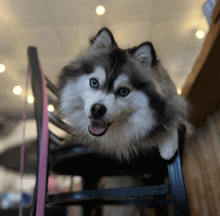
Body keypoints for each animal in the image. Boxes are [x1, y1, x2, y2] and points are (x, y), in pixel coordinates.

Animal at [58, 27, 189, 161]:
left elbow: (175, 118)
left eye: (123, 91)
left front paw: (168, 146)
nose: (97, 109)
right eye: (94, 82)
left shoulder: (174, 100)